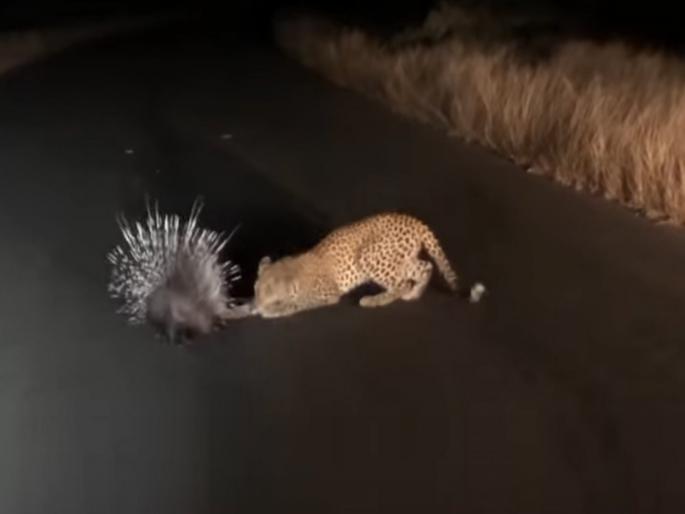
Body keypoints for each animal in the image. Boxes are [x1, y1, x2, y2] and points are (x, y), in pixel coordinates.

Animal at [251, 212, 463, 318]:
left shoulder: (328, 293)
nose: (256, 305)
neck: (291, 270)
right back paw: (414, 294)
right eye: (255, 290)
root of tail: (413, 220)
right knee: (425, 267)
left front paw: (270, 311)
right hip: (402, 260)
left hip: (370, 255)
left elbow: (300, 303)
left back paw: (373, 301)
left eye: (272, 296)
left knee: (402, 284)